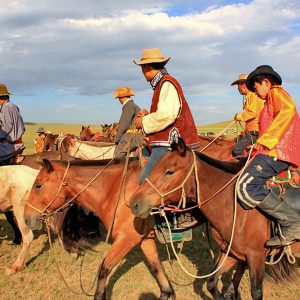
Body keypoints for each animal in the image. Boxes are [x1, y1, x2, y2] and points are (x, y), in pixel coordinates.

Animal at [24, 157, 176, 300]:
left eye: (38, 185)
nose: (26, 218)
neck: (117, 190)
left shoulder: (126, 239)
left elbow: (104, 269)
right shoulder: (144, 238)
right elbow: (156, 267)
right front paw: (168, 292)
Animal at [130, 139, 298, 300]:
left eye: (169, 172)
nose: (135, 203)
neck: (233, 205)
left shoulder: (256, 257)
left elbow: (256, 292)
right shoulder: (232, 252)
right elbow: (211, 283)